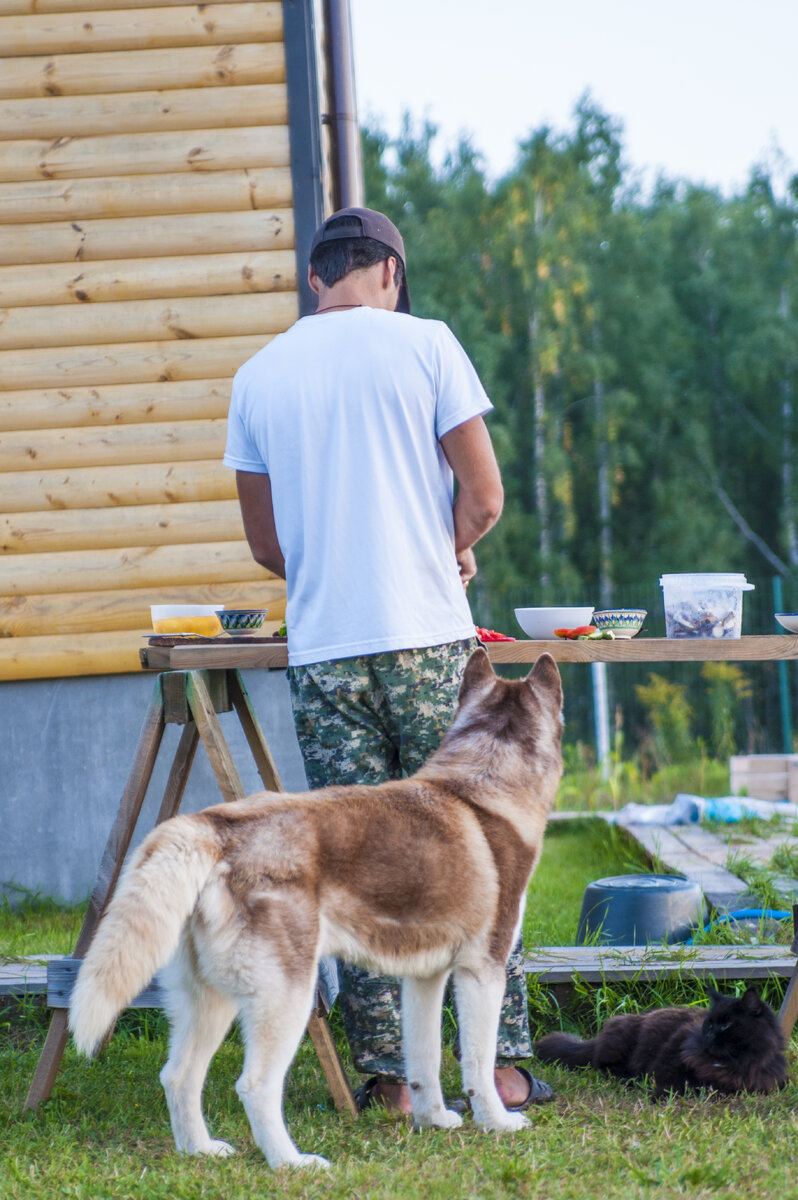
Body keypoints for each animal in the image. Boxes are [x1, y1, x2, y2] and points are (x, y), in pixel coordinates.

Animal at [71, 652, 564, 1166]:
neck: (483, 785)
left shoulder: (424, 980)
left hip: (211, 999)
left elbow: (423, 1059)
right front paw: (497, 1122)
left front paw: (434, 1120)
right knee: (254, 1086)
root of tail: (215, 826)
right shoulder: (483, 972)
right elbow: (479, 1063)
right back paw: (291, 1164)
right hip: (287, 997)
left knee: (178, 1075)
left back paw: (200, 1151)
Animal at [532, 984, 787, 1099]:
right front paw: (657, 1095)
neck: (732, 1064)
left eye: (725, 1025)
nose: (708, 1035)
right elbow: (669, 1085)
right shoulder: (667, 1065)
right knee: (605, 1067)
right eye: (710, 1023)